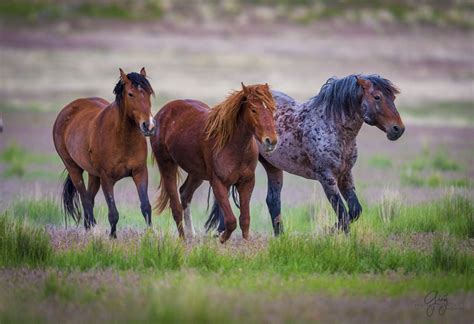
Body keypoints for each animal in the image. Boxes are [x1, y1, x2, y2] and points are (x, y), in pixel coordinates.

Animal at [52, 67, 156, 238]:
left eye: (149, 93)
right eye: (130, 94)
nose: (148, 126)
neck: (122, 137)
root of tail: (67, 110)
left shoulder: (140, 172)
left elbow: (146, 207)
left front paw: (151, 236)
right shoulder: (107, 179)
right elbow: (113, 213)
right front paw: (112, 237)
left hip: (94, 175)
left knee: (89, 198)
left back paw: (88, 228)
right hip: (74, 169)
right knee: (85, 199)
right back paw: (92, 229)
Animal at [151, 82, 278, 242]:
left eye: (272, 109)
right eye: (253, 109)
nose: (271, 141)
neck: (234, 146)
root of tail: (162, 113)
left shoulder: (247, 182)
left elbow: (245, 219)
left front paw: (245, 243)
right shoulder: (218, 182)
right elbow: (231, 221)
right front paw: (222, 240)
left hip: (196, 174)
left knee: (185, 194)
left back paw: (191, 235)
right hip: (167, 165)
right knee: (176, 207)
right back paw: (184, 239)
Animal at [206, 73, 404, 235]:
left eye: (393, 97)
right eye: (377, 96)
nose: (398, 129)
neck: (331, 126)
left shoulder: (345, 174)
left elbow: (354, 210)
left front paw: (331, 229)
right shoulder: (327, 177)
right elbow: (342, 212)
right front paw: (335, 234)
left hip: (273, 166)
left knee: (273, 200)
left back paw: (280, 238)